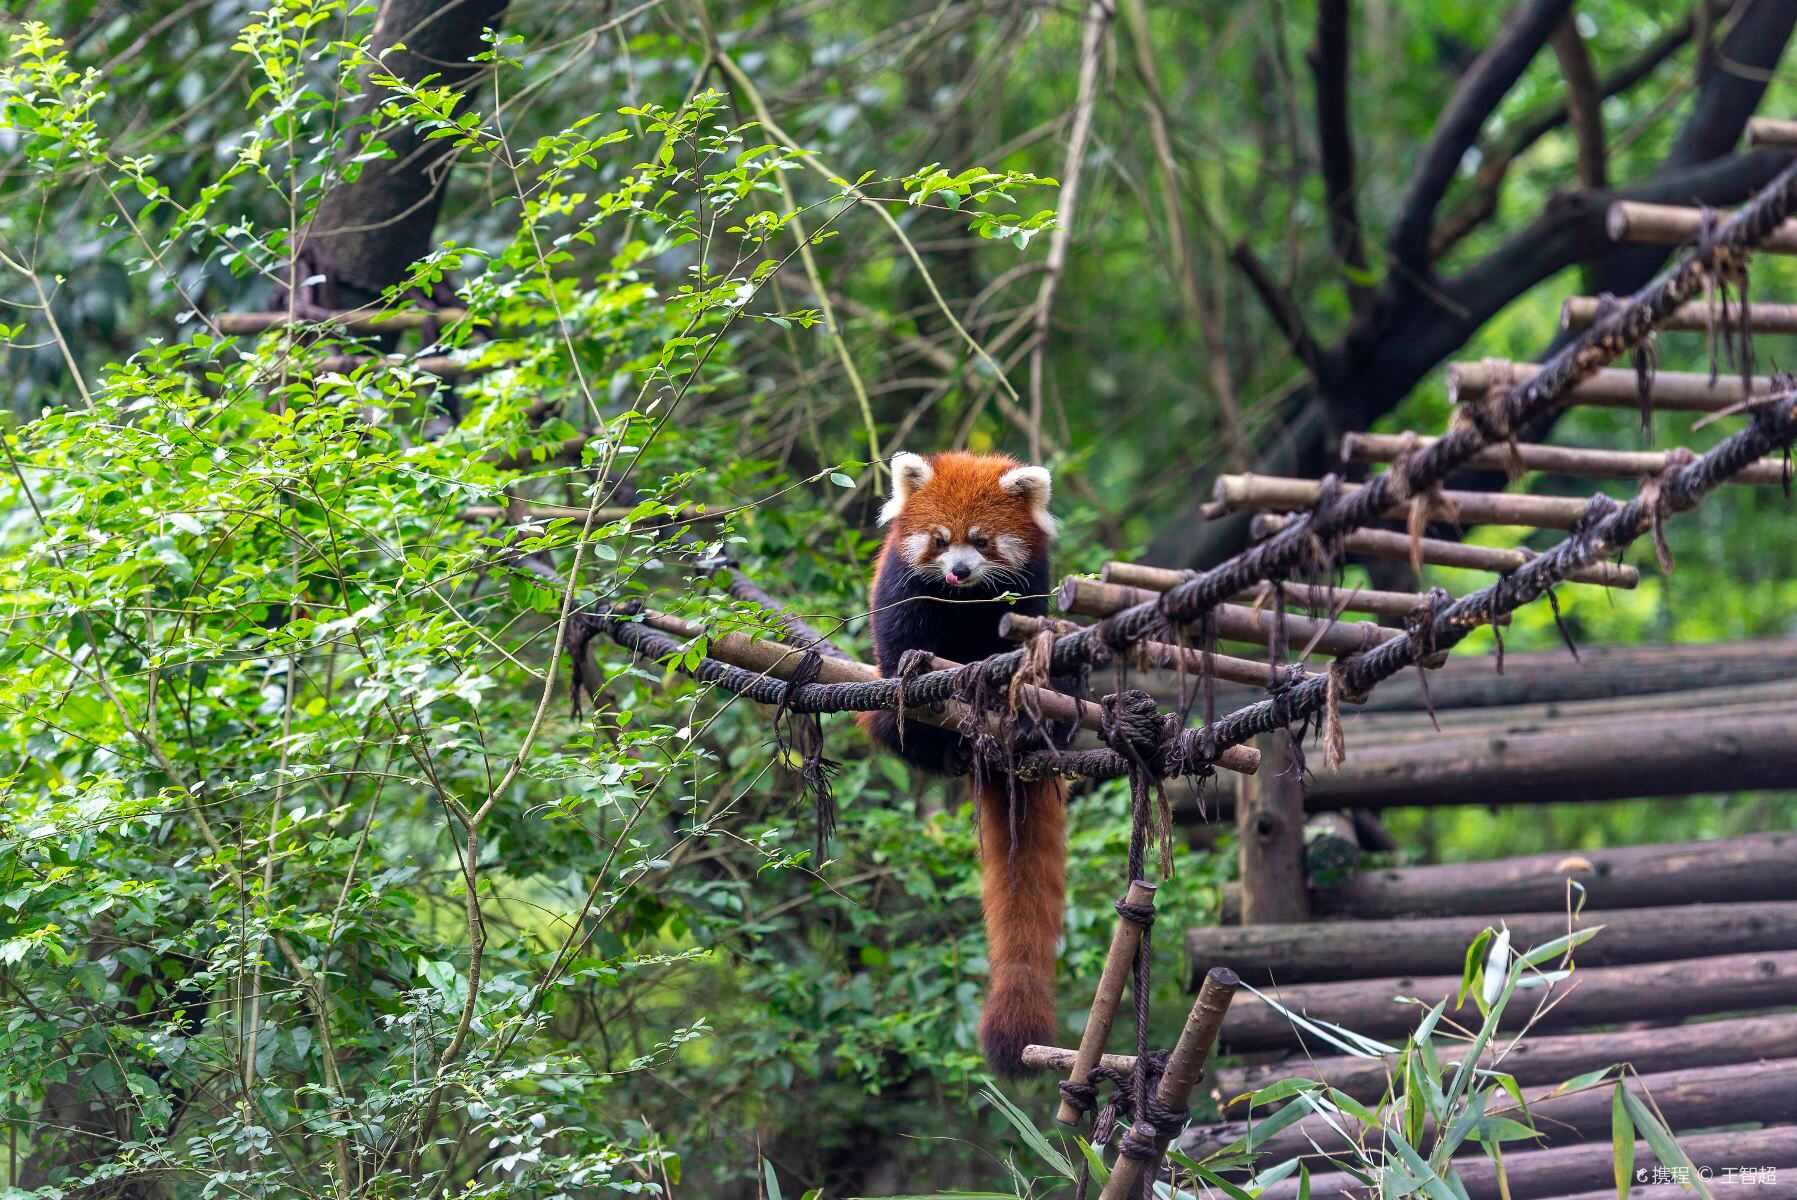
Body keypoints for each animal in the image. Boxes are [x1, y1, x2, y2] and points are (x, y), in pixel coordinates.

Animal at [855, 452, 1063, 1077]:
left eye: (982, 540)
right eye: (941, 541)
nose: (960, 573)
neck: (964, 603)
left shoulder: (1028, 591)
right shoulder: (902, 587)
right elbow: (898, 639)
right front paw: (916, 664)